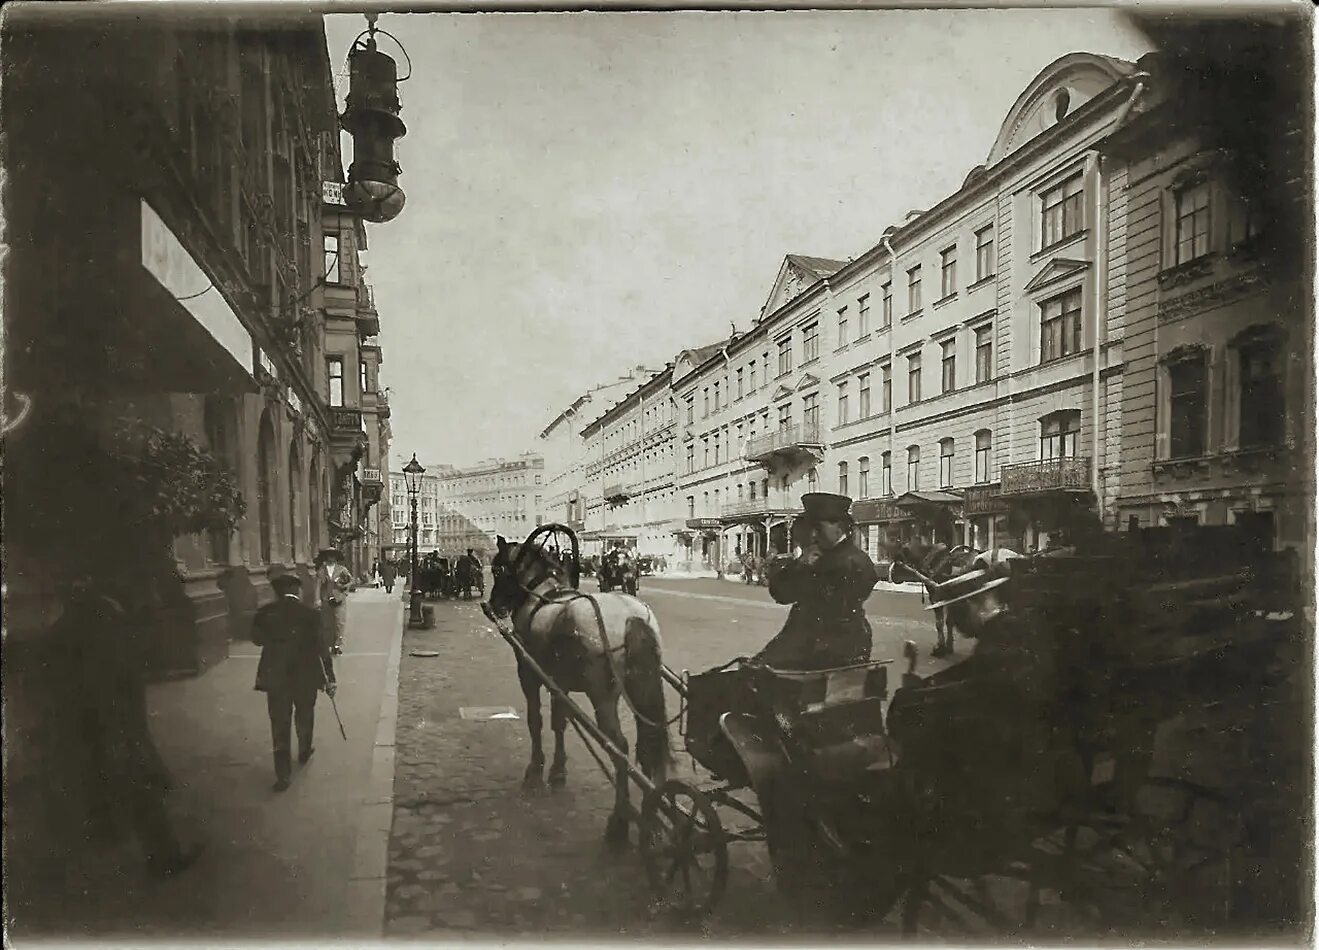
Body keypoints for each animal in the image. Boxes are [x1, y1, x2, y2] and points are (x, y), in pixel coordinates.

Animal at [488, 530, 675, 849]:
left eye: (497, 569)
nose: (494, 604)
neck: (542, 596)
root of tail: (631, 617)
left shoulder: (529, 674)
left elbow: (536, 721)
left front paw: (535, 772)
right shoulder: (559, 682)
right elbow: (559, 721)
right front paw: (558, 771)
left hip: (602, 695)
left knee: (619, 747)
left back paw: (619, 824)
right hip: (641, 691)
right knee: (648, 742)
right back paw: (651, 822)